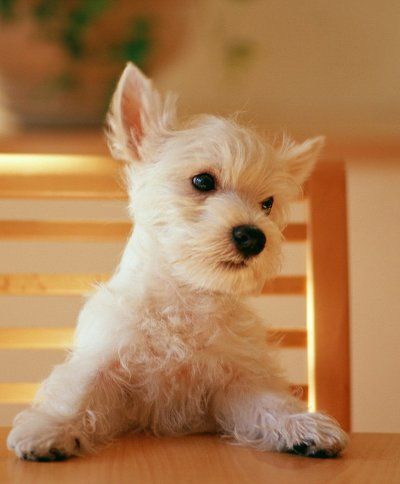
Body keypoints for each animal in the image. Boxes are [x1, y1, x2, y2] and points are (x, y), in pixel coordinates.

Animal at [7, 64, 348, 462]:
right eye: (202, 180)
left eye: (268, 203)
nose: (254, 237)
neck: (184, 297)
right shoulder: (107, 362)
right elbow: (79, 393)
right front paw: (51, 429)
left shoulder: (236, 382)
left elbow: (269, 403)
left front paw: (302, 426)